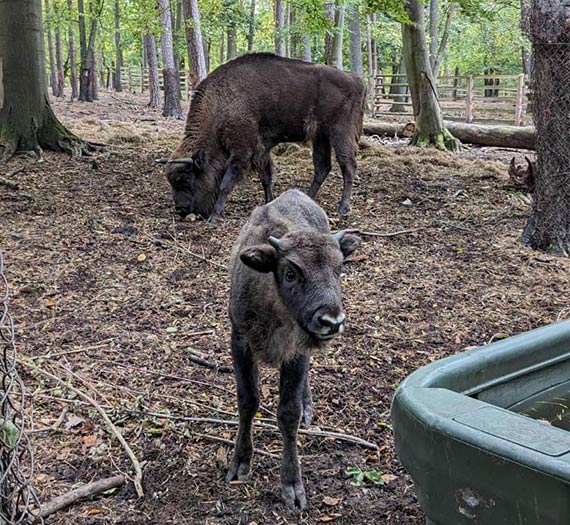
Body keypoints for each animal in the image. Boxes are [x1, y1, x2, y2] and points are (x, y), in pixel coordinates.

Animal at [163, 54, 364, 222]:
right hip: (320, 136)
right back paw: (308, 198)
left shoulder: (242, 152)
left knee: (347, 165)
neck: (221, 104)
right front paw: (269, 202)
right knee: (322, 167)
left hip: (340, 133)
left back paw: (342, 208)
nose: (180, 209)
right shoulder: (261, 150)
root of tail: (356, 80)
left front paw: (214, 216)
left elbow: (225, 183)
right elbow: (266, 178)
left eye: (186, 179)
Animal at [224, 188, 358, 508]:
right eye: (290, 273)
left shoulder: (296, 354)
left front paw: (292, 486)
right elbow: (248, 400)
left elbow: (288, 412)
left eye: (339, 269)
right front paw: (239, 464)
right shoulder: (240, 343)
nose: (331, 321)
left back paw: (309, 407)